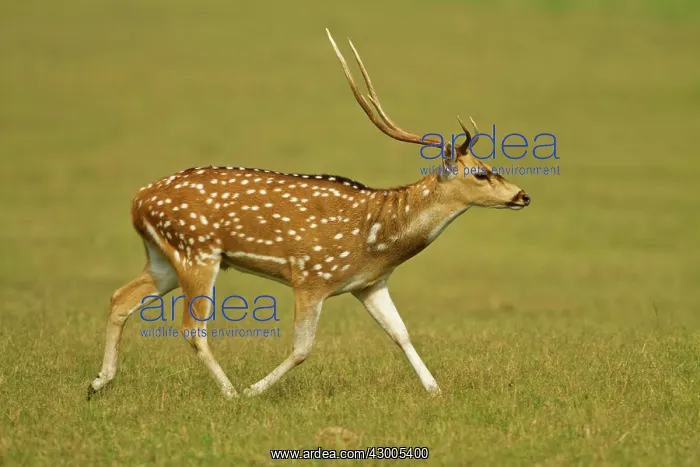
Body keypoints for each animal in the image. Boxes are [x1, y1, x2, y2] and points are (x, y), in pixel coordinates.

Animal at [87, 29, 530, 400]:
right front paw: (254, 390)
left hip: (164, 256)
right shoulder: (311, 278)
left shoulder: (370, 283)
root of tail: (137, 200)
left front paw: (435, 390)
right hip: (197, 252)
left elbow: (401, 333)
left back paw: (98, 382)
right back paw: (229, 393)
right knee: (192, 330)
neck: (377, 237)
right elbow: (302, 348)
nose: (522, 195)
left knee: (120, 297)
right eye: (481, 172)